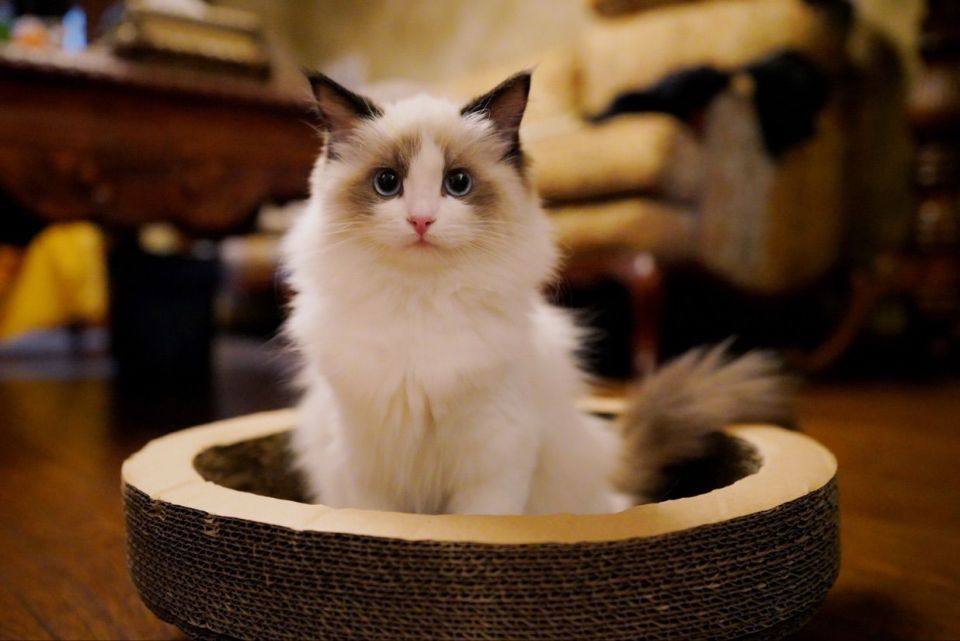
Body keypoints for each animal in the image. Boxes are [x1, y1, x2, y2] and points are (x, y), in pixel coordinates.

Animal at [281, 70, 792, 515]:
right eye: (387, 183)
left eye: (457, 183)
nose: (421, 220)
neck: (421, 304)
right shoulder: (365, 462)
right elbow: (378, 517)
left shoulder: (496, 451)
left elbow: (479, 524)